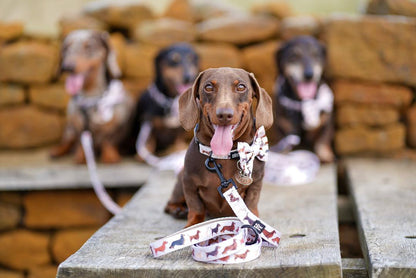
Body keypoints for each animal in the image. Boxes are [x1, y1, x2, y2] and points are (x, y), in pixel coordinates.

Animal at [49, 29, 134, 164]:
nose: (67, 67)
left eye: (89, 46)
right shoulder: (79, 127)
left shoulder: (117, 126)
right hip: (69, 128)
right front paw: (80, 157)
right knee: (67, 140)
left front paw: (110, 156)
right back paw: (57, 151)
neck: (90, 97)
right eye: (66, 48)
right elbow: (80, 142)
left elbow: (109, 140)